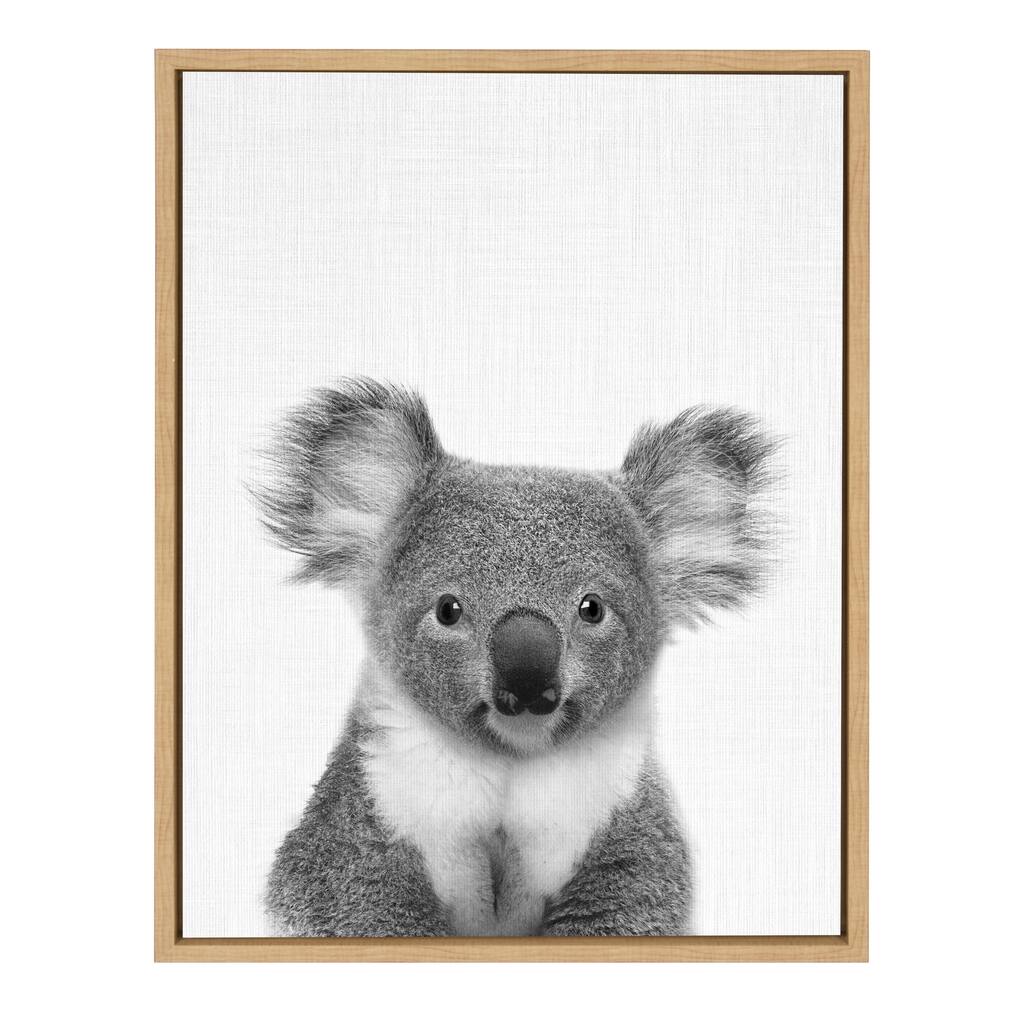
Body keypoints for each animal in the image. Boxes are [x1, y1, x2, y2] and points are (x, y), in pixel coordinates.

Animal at [254, 377, 776, 937]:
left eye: (592, 608)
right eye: (448, 610)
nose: (527, 683)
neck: (512, 761)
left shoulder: (621, 826)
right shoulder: (366, 818)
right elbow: (357, 900)